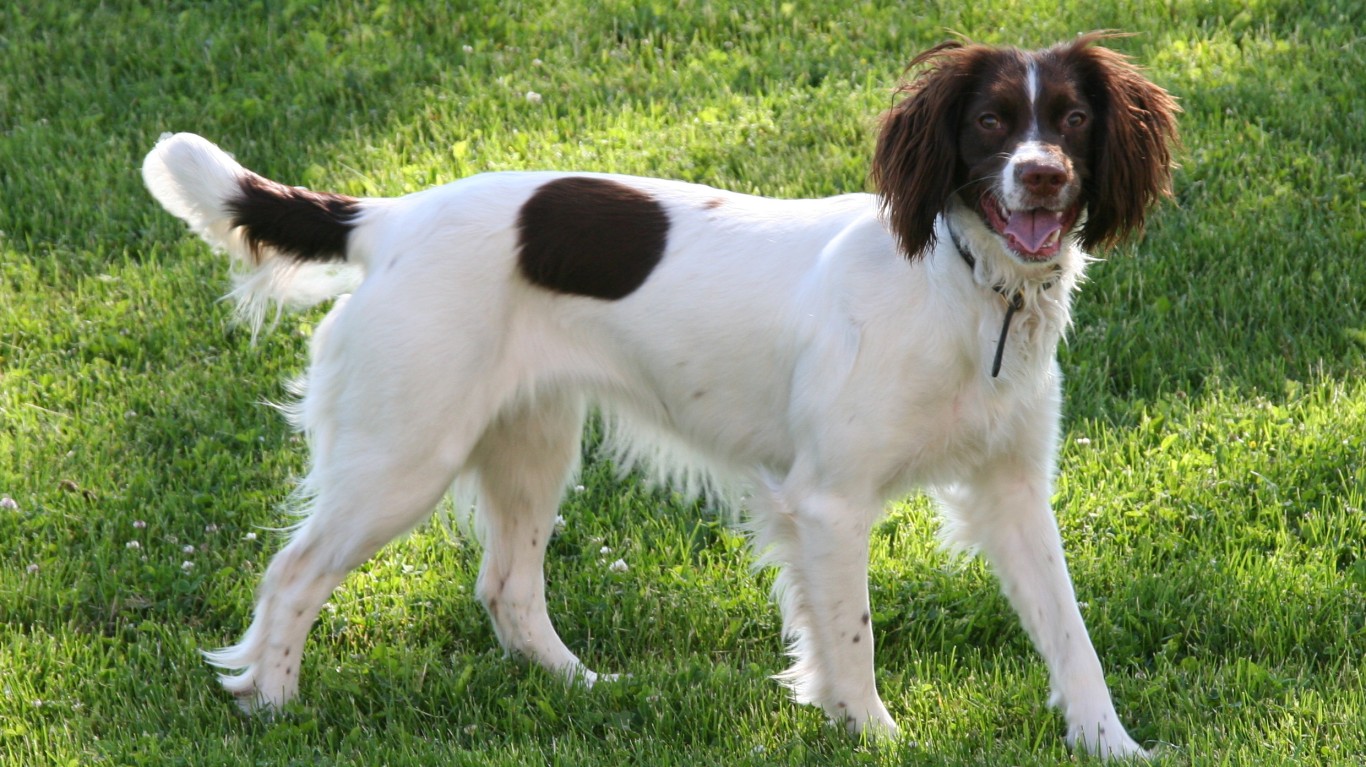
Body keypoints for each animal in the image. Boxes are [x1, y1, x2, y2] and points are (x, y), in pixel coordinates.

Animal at [146, 32, 1174, 754]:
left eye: (1073, 121)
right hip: (404, 457)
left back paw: (581, 686)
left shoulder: (1014, 492)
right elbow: (852, 637)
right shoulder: (830, 501)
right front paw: (875, 735)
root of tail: (388, 216)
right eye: (991, 123)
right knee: (293, 573)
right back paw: (272, 702)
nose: (1042, 176)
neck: (963, 286)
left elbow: (1071, 635)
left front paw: (1111, 742)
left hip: (531, 441)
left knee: (507, 586)